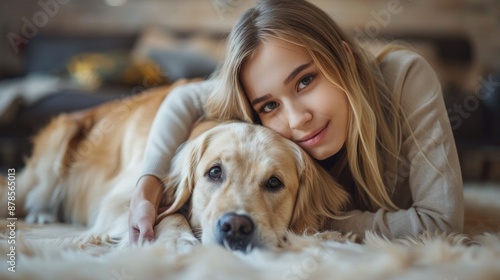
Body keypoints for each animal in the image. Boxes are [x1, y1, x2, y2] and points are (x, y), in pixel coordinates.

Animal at [0, 79, 348, 252]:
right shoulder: (119, 200)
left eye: (274, 182)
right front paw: (178, 238)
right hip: (55, 154)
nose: (236, 226)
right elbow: (165, 214)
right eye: (214, 172)